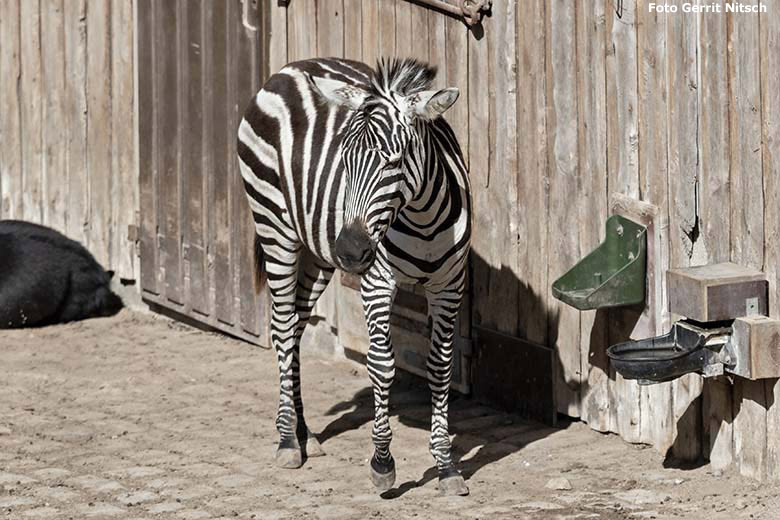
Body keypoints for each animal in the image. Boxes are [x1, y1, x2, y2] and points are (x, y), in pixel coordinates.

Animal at [236, 57, 470, 496]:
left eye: (394, 161)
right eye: (343, 161)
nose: (351, 250)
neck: (424, 220)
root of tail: (288, 69)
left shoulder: (449, 287)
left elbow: (441, 368)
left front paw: (446, 466)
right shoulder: (377, 282)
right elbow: (381, 365)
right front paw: (382, 463)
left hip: (318, 254)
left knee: (295, 327)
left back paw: (304, 432)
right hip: (276, 226)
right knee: (281, 326)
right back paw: (287, 440)